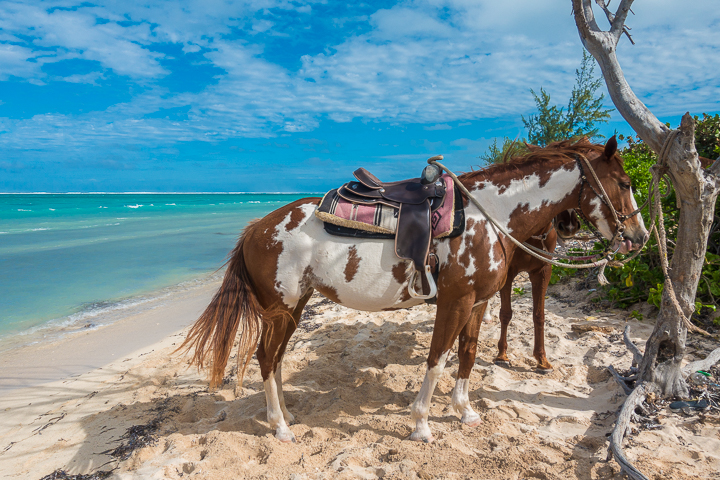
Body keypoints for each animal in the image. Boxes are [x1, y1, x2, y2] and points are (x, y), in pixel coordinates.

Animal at [492, 208, 584, 370]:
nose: (569, 226)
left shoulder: (543, 272)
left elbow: (539, 315)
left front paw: (542, 360)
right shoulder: (508, 272)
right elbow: (505, 313)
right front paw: (502, 355)